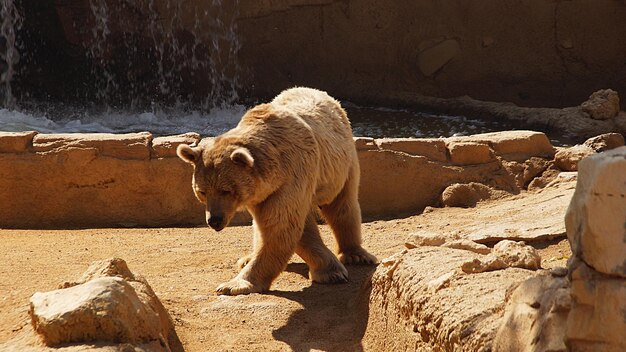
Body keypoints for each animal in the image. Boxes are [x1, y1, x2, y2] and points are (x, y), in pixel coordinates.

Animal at [176, 87, 376, 294]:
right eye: (202, 192)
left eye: (226, 190)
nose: (214, 220)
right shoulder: (262, 193)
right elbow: (283, 227)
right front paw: (329, 269)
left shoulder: (294, 173)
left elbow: (281, 226)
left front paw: (233, 285)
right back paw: (246, 258)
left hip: (343, 163)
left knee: (343, 205)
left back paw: (356, 254)